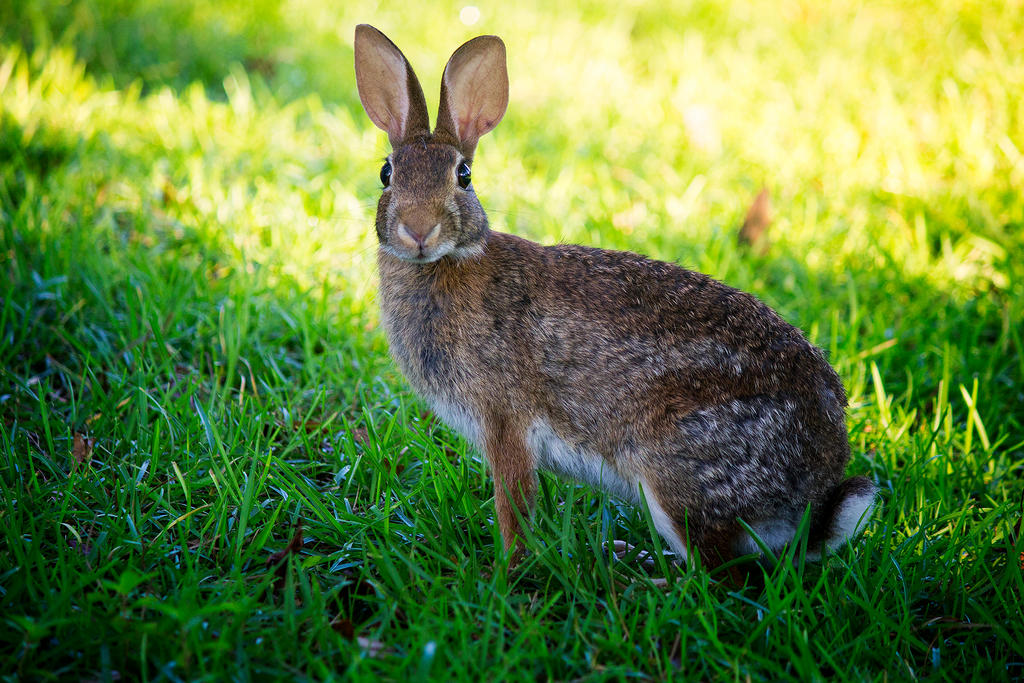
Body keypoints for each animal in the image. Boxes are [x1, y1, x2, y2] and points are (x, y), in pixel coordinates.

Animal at [352, 24, 877, 572]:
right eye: (387, 174)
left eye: (464, 176)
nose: (418, 230)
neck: (445, 264)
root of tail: (816, 491)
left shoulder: (505, 423)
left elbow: (514, 505)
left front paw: (508, 568)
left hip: (673, 470)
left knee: (713, 571)